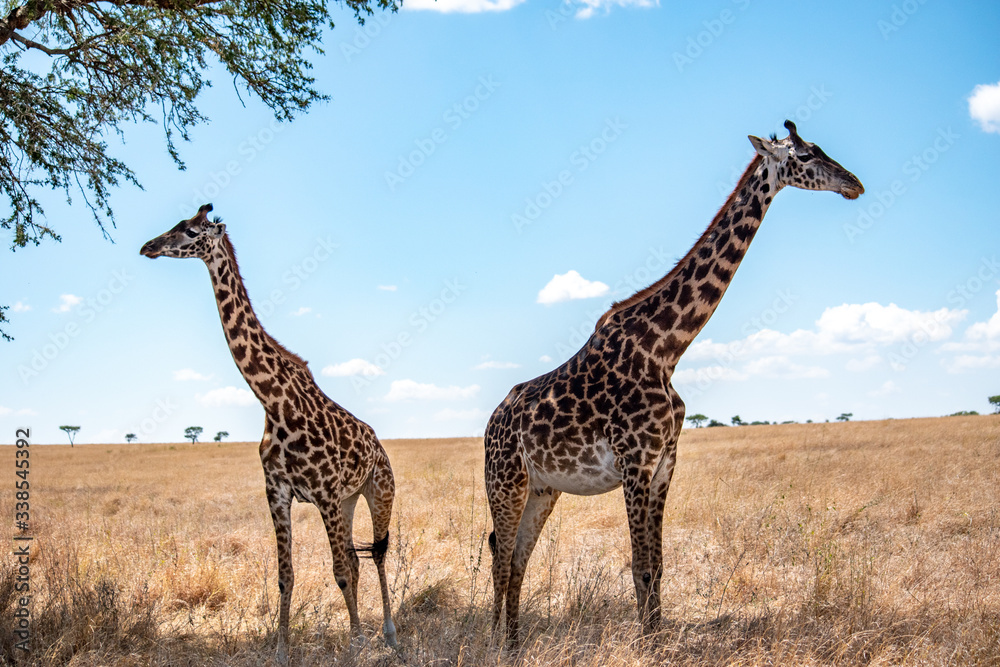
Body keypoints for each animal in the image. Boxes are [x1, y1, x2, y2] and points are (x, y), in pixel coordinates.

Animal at [140, 205, 398, 660]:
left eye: (189, 230)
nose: (148, 247)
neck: (274, 402)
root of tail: (377, 444)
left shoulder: (324, 494)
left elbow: (340, 571)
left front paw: (355, 642)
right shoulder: (277, 491)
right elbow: (287, 574)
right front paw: (281, 648)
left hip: (378, 490)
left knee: (378, 554)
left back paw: (387, 631)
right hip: (349, 500)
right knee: (358, 557)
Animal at [484, 120, 864, 644]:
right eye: (805, 155)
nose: (854, 184)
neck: (667, 350)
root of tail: (490, 423)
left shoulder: (666, 463)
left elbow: (659, 566)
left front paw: (657, 637)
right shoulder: (635, 464)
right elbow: (640, 565)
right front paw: (647, 644)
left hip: (542, 488)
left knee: (518, 558)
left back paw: (516, 642)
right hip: (505, 481)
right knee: (500, 556)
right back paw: (495, 642)